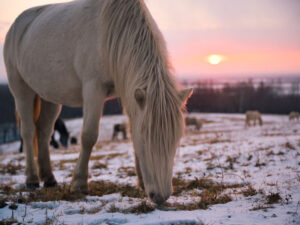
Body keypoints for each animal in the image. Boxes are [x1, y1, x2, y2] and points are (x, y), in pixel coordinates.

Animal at [3, 0, 192, 205]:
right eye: (146, 137)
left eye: (176, 139)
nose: (161, 196)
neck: (111, 31)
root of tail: (17, 24)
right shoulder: (93, 89)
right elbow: (89, 136)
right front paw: (79, 184)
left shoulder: (128, 91)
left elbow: (131, 131)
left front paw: (141, 182)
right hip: (21, 90)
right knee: (28, 132)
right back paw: (31, 179)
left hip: (50, 96)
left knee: (44, 132)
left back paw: (49, 179)